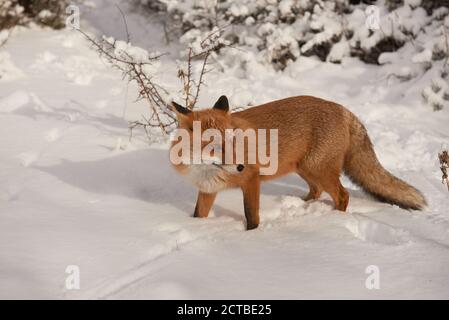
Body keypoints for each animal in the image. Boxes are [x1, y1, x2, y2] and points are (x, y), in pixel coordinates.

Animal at [169, 95, 428, 230]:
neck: (203, 170)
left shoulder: (252, 180)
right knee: (317, 191)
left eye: (235, 143)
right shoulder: (207, 190)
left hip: (318, 169)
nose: (241, 166)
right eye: (214, 146)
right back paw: (300, 206)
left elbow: (251, 216)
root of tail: (344, 110)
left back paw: (334, 220)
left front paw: (252, 235)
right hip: (305, 169)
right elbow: (198, 215)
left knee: (342, 195)